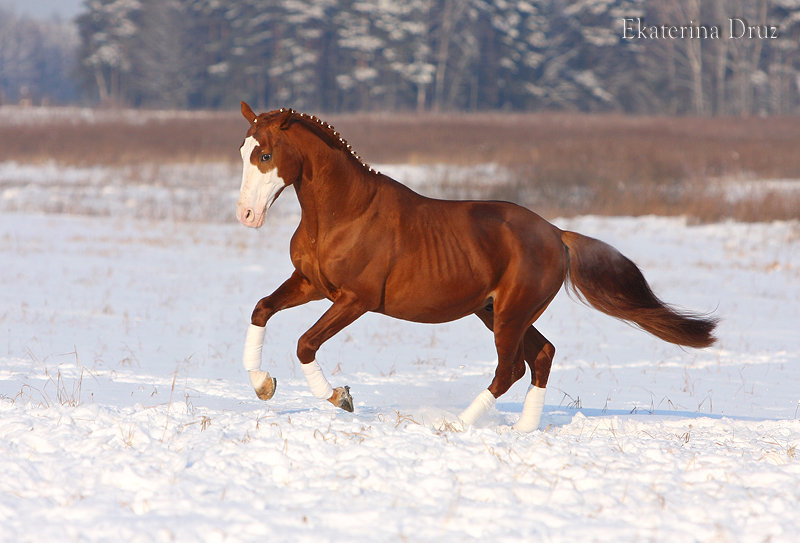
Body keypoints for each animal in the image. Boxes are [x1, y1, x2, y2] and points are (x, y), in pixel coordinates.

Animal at [234, 103, 716, 434]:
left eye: (266, 154)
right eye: (243, 150)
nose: (246, 215)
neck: (345, 213)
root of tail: (556, 234)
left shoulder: (356, 300)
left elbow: (305, 344)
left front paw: (340, 397)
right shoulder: (311, 283)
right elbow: (261, 309)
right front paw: (263, 385)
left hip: (510, 314)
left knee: (511, 369)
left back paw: (458, 424)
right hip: (496, 312)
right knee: (542, 355)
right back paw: (523, 429)